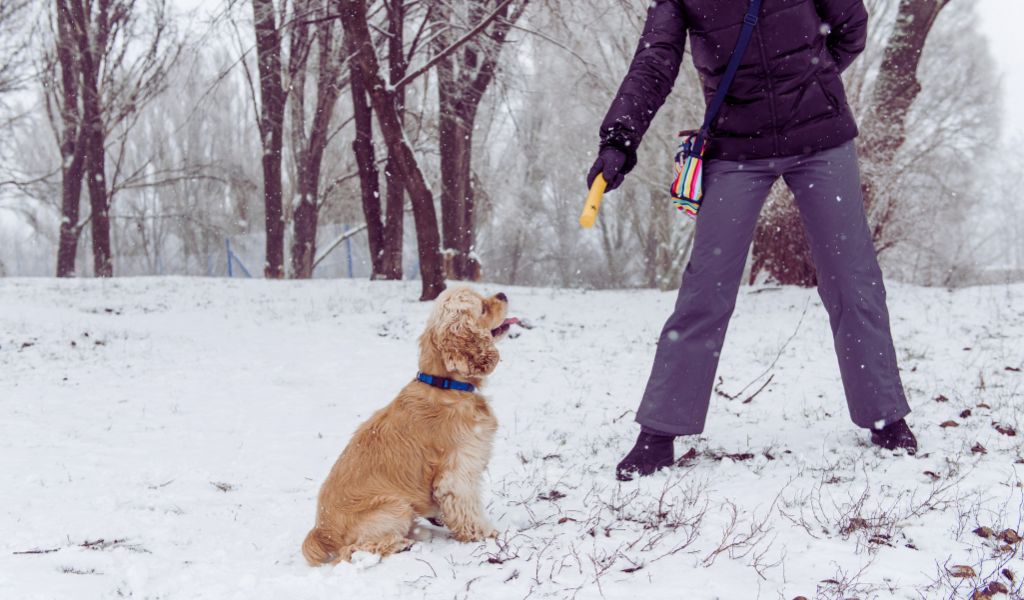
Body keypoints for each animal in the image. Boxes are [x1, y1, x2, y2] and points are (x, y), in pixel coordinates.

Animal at [299, 284, 516, 561]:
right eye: (483, 308)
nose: (502, 294)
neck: (444, 385)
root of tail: (321, 532)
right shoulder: (458, 469)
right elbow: (468, 508)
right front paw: (484, 533)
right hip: (396, 507)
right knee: (353, 550)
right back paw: (402, 543)